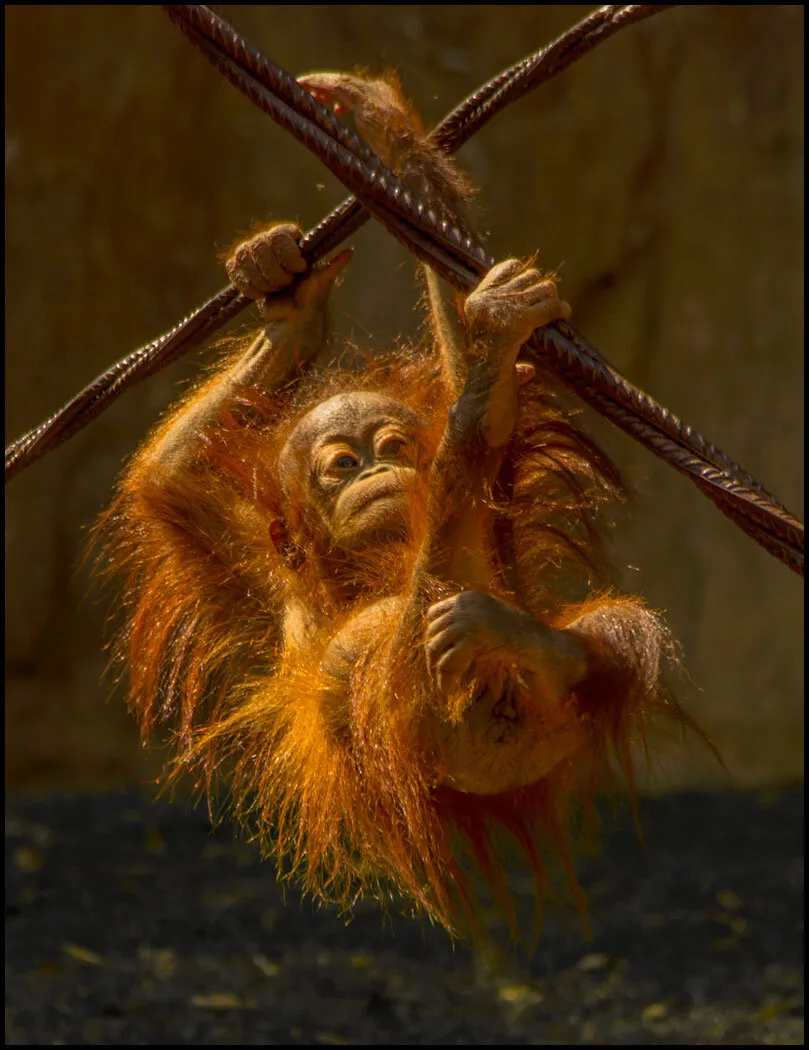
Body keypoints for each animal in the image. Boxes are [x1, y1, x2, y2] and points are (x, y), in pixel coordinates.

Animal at [97, 72, 691, 935]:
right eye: (340, 465)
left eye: (390, 446)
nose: (376, 471)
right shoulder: (272, 579)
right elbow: (169, 483)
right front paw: (288, 306)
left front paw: (392, 143)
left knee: (573, 620)